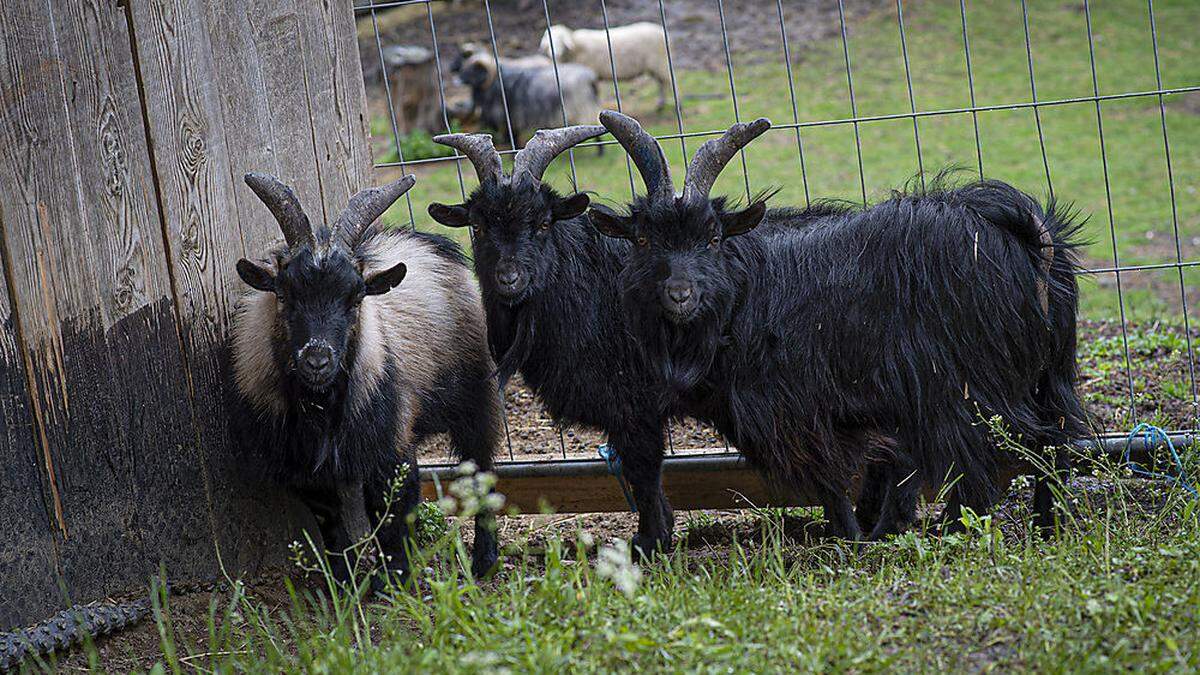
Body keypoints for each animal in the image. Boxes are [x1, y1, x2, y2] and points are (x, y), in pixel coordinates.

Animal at [229, 170, 501, 581]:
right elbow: (332, 526)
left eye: (356, 297)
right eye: (284, 293)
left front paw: (395, 580)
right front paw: (344, 583)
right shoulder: (307, 469)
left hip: (476, 397)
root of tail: (433, 243)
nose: (317, 360)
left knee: (480, 468)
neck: (321, 408)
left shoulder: (388, 447)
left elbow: (390, 515)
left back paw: (484, 561)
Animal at [540, 22, 672, 109]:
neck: (575, 49)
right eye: (549, 41)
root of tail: (661, 30)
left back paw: (670, 105)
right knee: (661, 83)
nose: (554, 54)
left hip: (660, 62)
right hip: (655, 66)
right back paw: (660, 104)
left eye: (561, 41)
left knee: (668, 82)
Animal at [595, 111, 1094, 540]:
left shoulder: (798, 407)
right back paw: (1045, 526)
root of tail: (1024, 231)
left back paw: (960, 530)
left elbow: (832, 478)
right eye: (643, 239)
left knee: (988, 455)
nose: (679, 294)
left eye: (713, 237)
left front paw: (850, 536)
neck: (746, 290)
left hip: (965, 386)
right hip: (1049, 373)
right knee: (1057, 441)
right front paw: (875, 529)